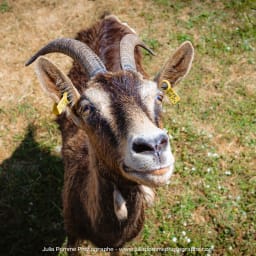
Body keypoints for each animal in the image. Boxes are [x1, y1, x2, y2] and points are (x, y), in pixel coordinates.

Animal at [26, 15, 194, 255]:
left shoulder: (119, 244)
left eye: (159, 97)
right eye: (86, 107)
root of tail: (107, 18)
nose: (153, 146)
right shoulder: (72, 234)